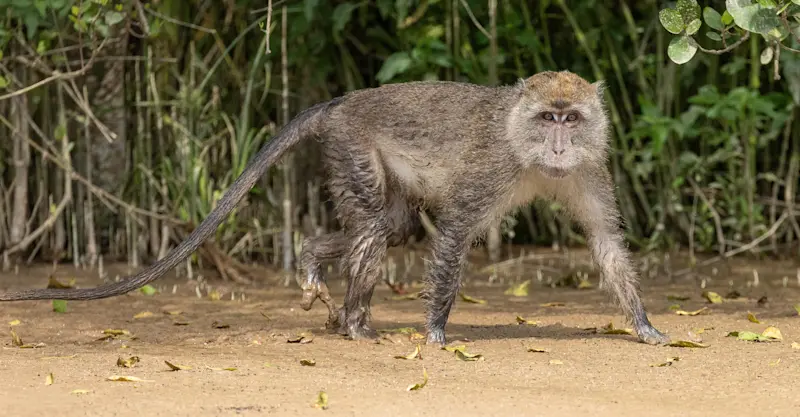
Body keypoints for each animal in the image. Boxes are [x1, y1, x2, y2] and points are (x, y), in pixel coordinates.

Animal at [0, 70, 670, 347]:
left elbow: (607, 245)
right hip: (352, 145)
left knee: (392, 226)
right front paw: (435, 329)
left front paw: (643, 325)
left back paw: (315, 265)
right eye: (547, 118)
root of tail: (342, 101)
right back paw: (356, 325)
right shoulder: (494, 170)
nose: (558, 145)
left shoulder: (588, 169)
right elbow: (454, 233)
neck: (527, 149)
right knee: (376, 225)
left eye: (572, 119)